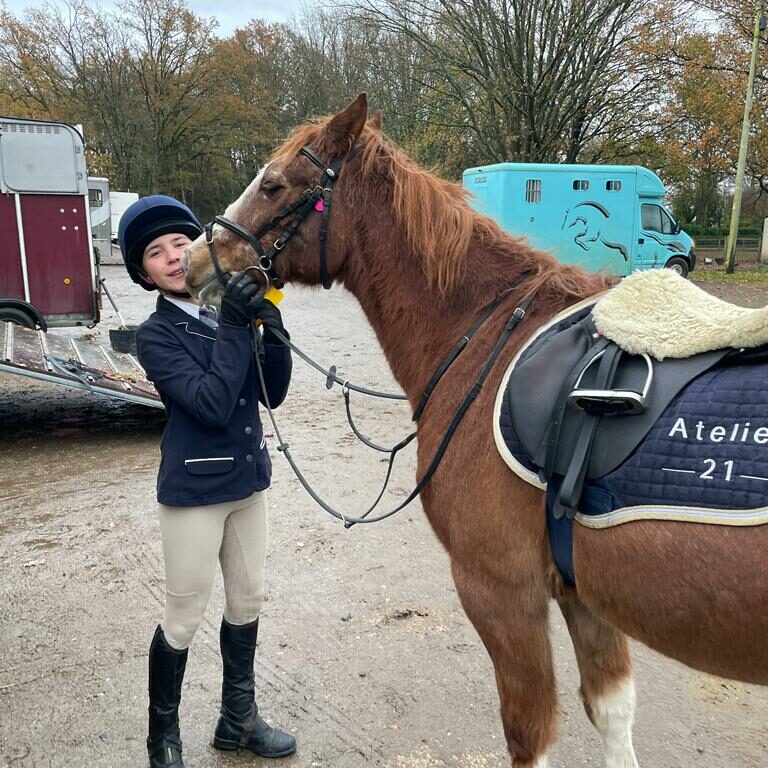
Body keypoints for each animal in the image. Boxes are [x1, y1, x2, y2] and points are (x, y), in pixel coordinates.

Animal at [182, 96, 768, 768]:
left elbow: (530, 733)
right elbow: (613, 711)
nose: (194, 261)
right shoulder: (582, 596)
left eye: (274, 183)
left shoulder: (502, 593)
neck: (487, 338)